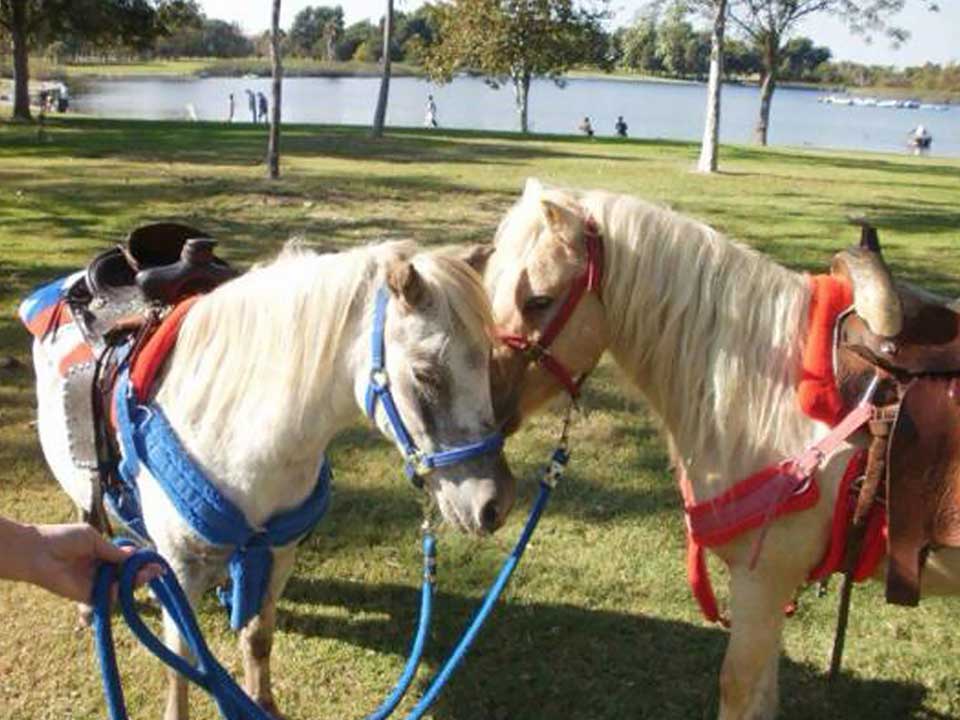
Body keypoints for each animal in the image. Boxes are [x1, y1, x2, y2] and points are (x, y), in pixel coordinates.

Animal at [29, 240, 516, 720]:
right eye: (425, 373)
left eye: (488, 361)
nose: (495, 504)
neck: (239, 431)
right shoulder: (180, 571)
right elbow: (182, 667)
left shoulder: (278, 553)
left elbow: (258, 636)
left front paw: (263, 703)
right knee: (91, 519)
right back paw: (89, 606)